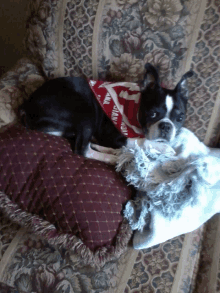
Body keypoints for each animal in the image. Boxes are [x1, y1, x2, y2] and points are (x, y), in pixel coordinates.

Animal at [19, 63, 193, 162]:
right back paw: (114, 159)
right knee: (83, 150)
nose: (166, 126)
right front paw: (162, 147)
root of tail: (27, 107)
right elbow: (141, 141)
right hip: (85, 112)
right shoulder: (114, 135)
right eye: (152, 114)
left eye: (180, 118)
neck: (135, 106)